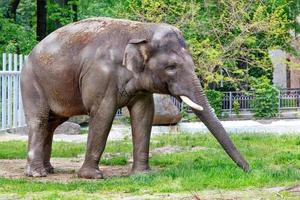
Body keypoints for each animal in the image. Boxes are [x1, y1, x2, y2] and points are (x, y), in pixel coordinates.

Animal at [21, 17, 250, 179]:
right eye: (171, 67)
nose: (250, 170)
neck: (142, 30)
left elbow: (144, 114)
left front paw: (142, 175)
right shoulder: (101, 75)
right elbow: (103, 113)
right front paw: (92, 176)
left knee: (52, 123)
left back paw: (49, 169)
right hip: (32, 83)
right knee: (39, 121)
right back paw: (37, 174)